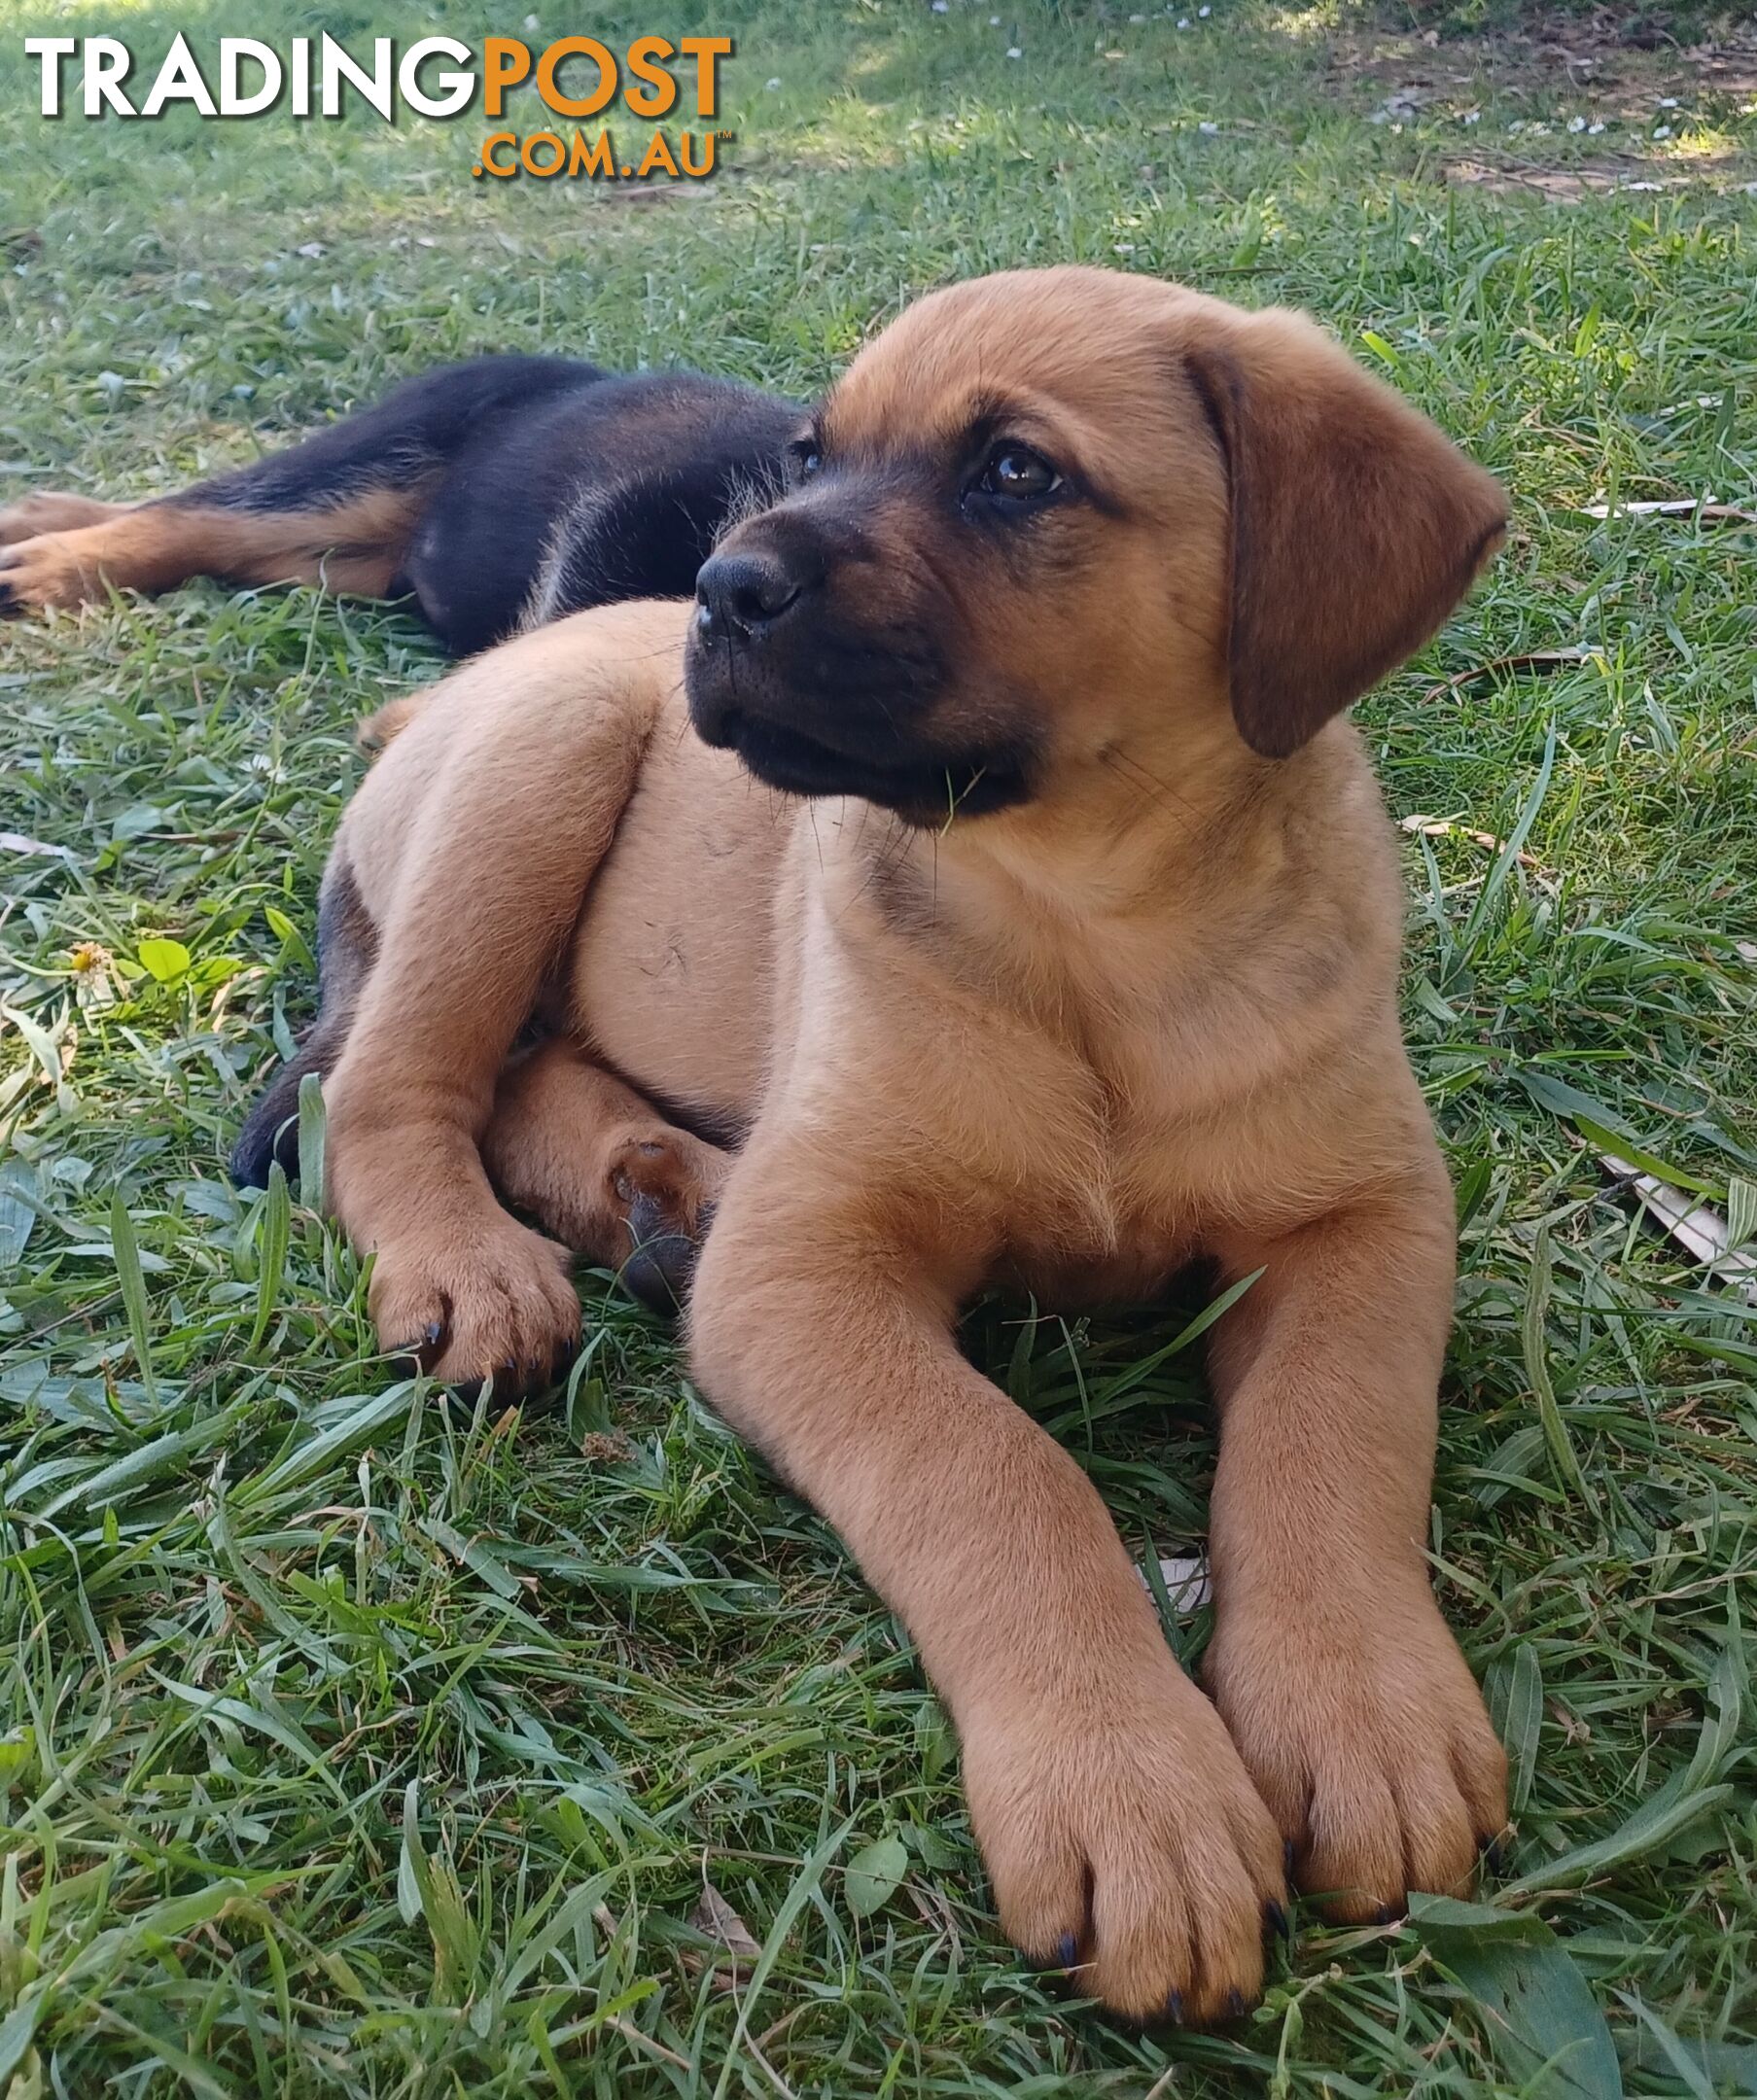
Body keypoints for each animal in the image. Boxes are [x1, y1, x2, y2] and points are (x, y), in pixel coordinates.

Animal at [0, 352, 789, 650]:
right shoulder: (628, 523)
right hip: (383, 454)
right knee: (199, 512)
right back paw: (38, 565)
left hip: (338, 561)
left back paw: (41, 519)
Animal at [240, 266, 1511, 2015]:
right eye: (807, 453)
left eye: (1015, 474)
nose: (722, 590)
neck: (1090, 933)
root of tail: (460, 681)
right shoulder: (809, 1272)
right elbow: (996, 1475)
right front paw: (1131, 1790)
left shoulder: (1362, 1220)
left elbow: (1334, 1446)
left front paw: (1365, 1714)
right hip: (535, 768)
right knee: (394, 1089)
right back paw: (475, 1266)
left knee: (523, 1070)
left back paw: (654, 1194)